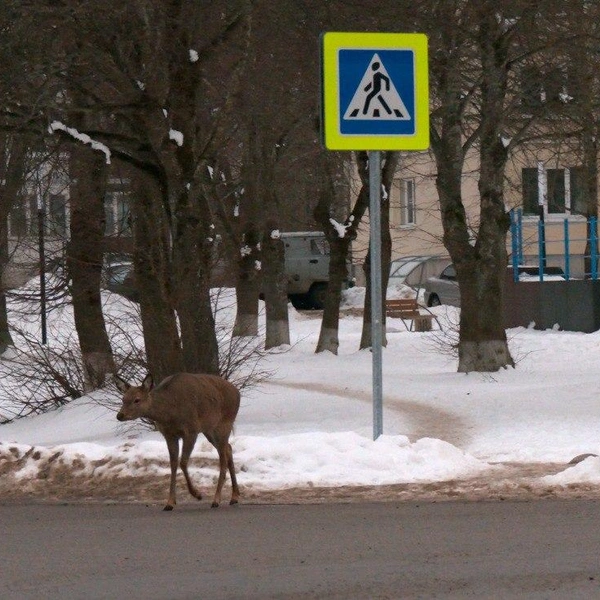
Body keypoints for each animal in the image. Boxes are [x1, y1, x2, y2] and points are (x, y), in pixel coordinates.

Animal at [116, 372, 240, 508]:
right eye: (123, 399)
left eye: (137, 399)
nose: (120, 415)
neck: (169, 413)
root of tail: (237, 392)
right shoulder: (169, 435)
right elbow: (173, 464)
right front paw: (170, 502)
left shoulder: (191, 430)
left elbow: (183, 462)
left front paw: (197, 494)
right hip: (209, 430)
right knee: (228, 448)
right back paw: (234, 497)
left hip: (224, 423)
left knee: (223, 458)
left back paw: (216, 499)